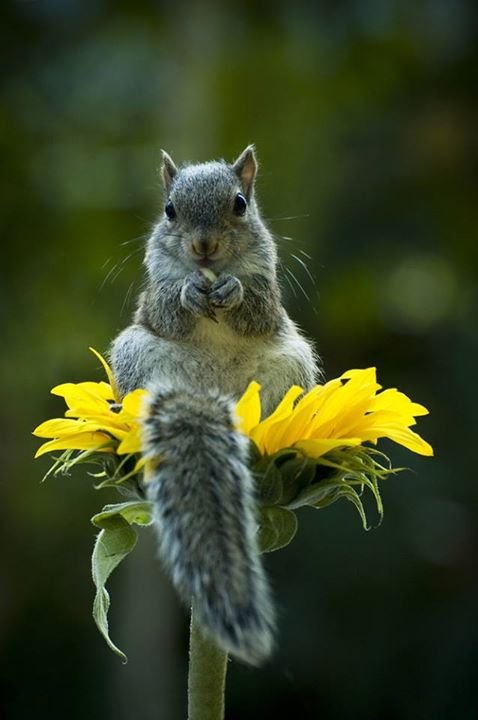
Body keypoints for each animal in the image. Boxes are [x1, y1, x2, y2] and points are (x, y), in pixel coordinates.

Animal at [109, 145, 320, 664]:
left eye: (240, 204)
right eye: (169, 211)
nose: (203, 246)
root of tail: (211, 395)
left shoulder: (269, 287)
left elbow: (257, 308)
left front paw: (233, 292)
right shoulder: (155, 291)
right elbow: (169, 307)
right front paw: (189, 292)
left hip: (292, 364)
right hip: (135, 354)